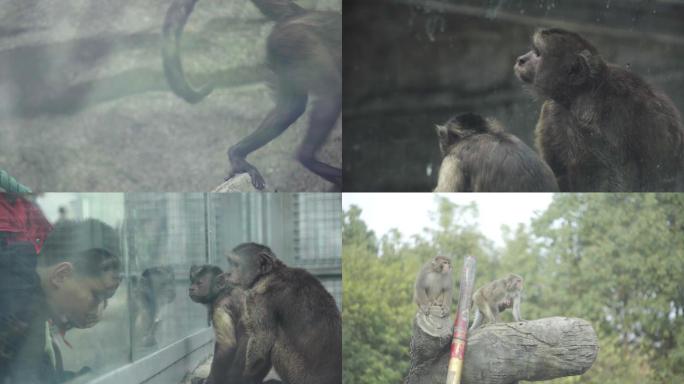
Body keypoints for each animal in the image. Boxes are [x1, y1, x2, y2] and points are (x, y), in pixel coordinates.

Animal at [161, 0, 342, 190]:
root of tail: (303, 13)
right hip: (297, 40)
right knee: (330, 94)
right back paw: (306, 158)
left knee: (291, 107)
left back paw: (237, 154)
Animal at [226, 243, 340, 384]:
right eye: (230, 263)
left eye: (235, 264)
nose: (228, 273)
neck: (268, 275)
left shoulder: (258, 301)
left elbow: (262, 339)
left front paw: (244, 377)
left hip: (299, 375)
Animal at [512, 28, 684, 192]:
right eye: (534, 51)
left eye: (538, 54)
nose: (521, 59)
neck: (582, 92)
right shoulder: (553, 110)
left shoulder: (593, 115)